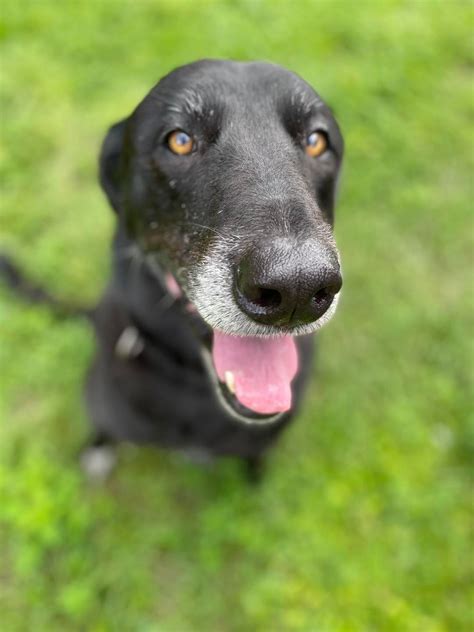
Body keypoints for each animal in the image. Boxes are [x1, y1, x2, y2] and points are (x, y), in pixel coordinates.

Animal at [0, 61, 344, 482]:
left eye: (316, 141)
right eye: (180, 140)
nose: (297, 288)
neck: (192, 379)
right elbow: (103, 434)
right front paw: (96, 456)